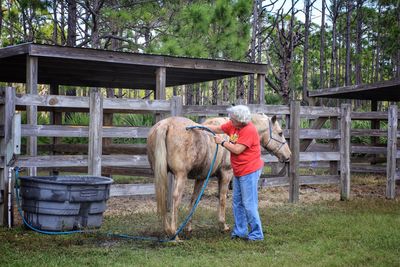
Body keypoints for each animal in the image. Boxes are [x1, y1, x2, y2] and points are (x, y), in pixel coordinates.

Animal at [147, 114, 290, 238]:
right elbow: (222, 198)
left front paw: (188, 226)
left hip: (161, 174)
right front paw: (222, 225)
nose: (288, 155)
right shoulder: (226, 173)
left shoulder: (201, 177)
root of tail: (165, 124)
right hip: (181, 175)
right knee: (175, 198)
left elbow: (194, 200)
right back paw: (173, 234)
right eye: (280, 133)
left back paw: (167, 230)